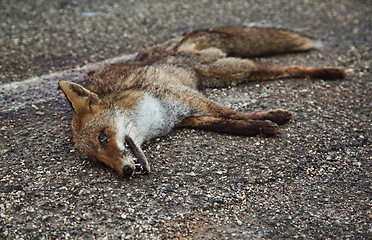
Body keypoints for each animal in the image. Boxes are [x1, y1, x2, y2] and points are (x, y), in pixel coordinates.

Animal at [57, 26, 346, 177]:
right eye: (99, 162)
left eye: (103, 138)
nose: (126, 171)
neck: (155, 122)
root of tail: (171, 47)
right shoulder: (189, 118)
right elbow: (228, 124)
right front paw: (261, 127)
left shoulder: (187, 97)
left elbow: (233, 113)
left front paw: (270, 119)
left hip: (224, 71)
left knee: (287, 68)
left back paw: (330, 72)